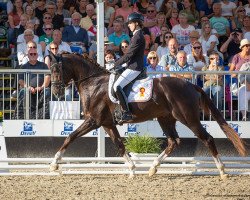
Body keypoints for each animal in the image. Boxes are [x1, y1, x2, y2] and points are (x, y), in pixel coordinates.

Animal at [48, 52, 246, 178]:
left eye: (56, 70)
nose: (56, 92)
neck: (93, 83)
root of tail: (191, 85)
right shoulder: (107, 123)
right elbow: (119, 145)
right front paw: (132, 169)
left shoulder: (93, 120)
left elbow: (70, 136)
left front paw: (54, 163)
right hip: (166, 118)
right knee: (173, 142)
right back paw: (152, 168)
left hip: (188, 118)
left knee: (207, 138)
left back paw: (222, 170)